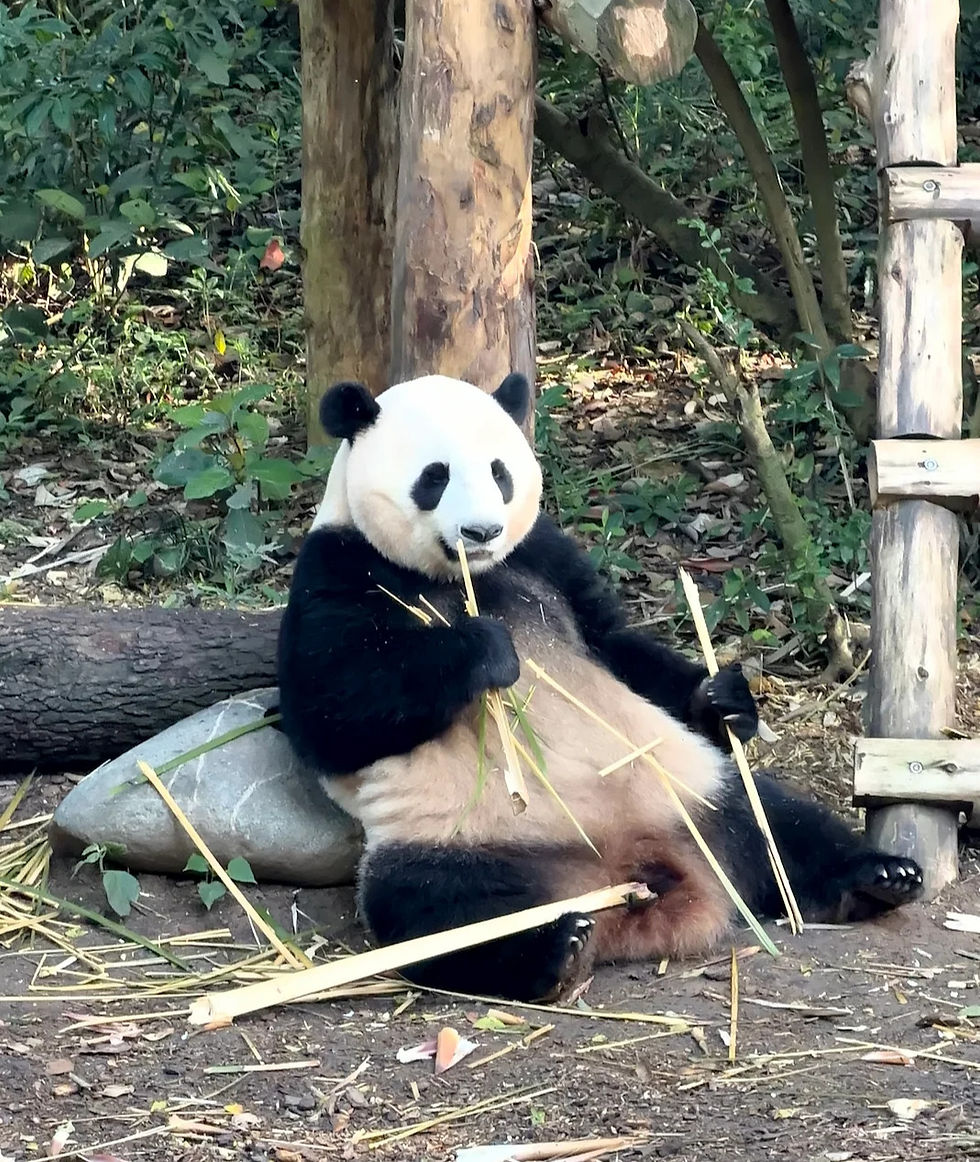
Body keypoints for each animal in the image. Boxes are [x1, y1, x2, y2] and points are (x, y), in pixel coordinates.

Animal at [276, 371, 924, 1004]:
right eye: (434, 477)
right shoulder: (336, 568)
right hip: (457, 835)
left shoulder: (543, 552)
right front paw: (486, 648)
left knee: (777, 819)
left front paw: (723, 701)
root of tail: (628, 873)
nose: (482, 531)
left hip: (694, 792)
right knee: (435, 909)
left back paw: (878, 879)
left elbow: (614, 644)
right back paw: (552, 950)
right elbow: (332, 713)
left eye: (499, 472)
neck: (464, 575)